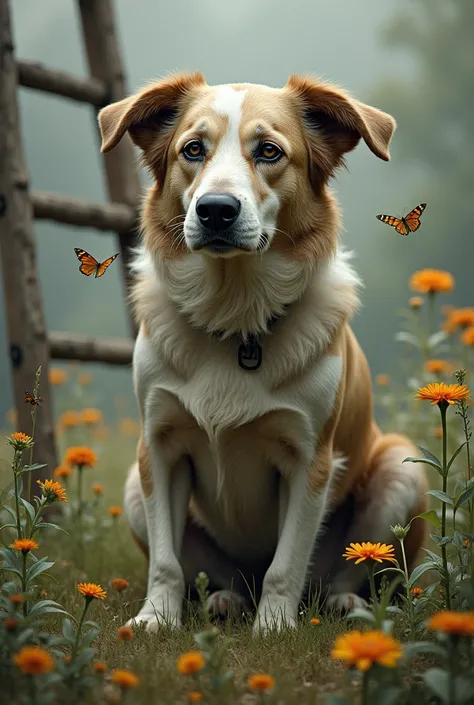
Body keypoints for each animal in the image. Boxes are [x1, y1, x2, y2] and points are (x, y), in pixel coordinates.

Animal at [98, 71, 428, 632]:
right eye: (193, 149)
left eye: (269, 151)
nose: (215, 210)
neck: (235, 319)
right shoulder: (158, 447)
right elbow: (166, 561)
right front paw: (155, 620)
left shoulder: (310, 460)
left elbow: (285, 565)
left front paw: (274, 628)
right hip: (133, 488)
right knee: (217, 576)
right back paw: (224, 600)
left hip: (401, 468)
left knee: (342, 573)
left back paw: (343, 604)